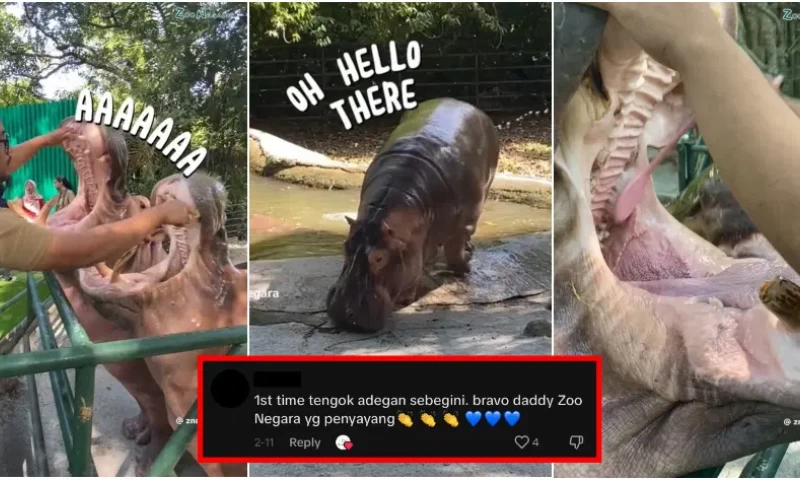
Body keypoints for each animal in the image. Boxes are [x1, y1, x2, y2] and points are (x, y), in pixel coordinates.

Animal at [324, 97, 494, 330]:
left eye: (379, 257)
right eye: (344, 246)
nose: (344, 312)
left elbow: (455, 253)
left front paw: (466, 262)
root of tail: (460, 102)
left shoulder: (465, 223)